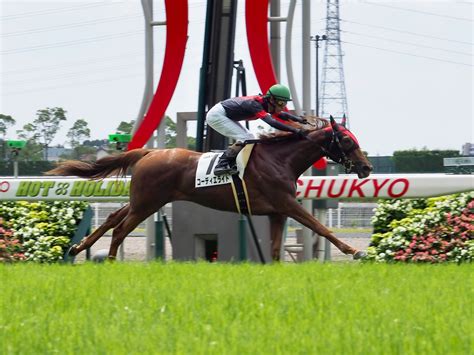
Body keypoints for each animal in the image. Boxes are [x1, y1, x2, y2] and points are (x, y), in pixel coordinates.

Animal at [49, 117, 374, 262]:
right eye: (347, 141)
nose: (366, 167)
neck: (281, 159)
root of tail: (148, 153)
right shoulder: (286, 203)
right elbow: (321, 227)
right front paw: (354, 250)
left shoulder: (277, 212)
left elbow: (274, 247)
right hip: (147, 203)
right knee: (120, 229)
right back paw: (110, 260)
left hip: (142, 200)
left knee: (112, 218)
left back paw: (78, 248)